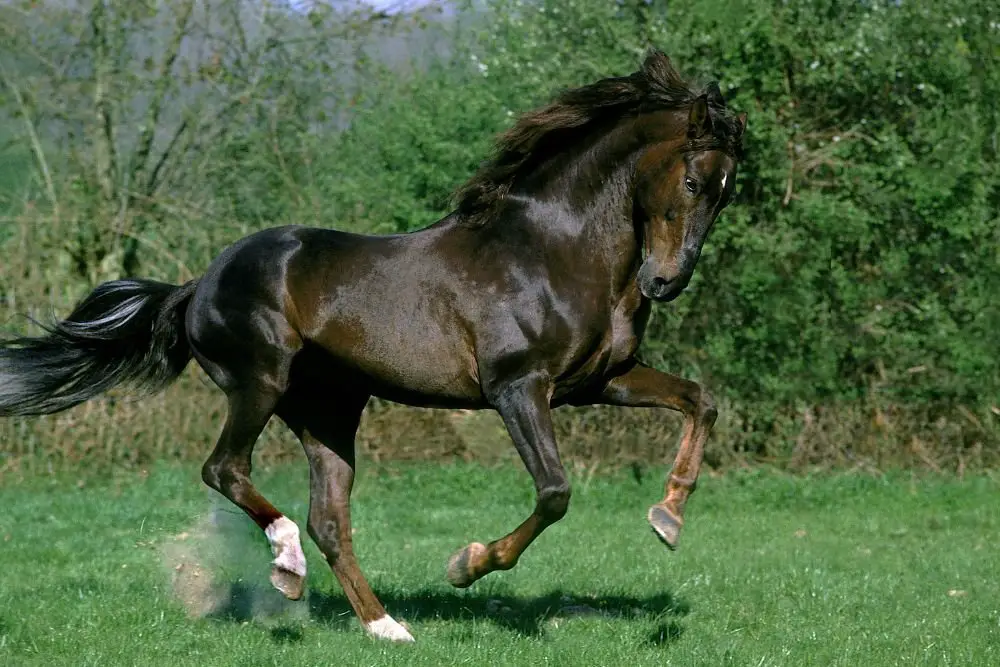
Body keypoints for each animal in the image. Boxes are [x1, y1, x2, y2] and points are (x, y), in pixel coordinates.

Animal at [0, 51, 748, 640]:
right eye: (691, 180)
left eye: (726, 192)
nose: (664, 282)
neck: (550, 250)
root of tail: (199, 283)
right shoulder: (517, 388)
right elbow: (555, 492)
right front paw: (466, 564)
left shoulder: (600, 381)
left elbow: (701, 401)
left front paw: (667, 518)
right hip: (260, 383)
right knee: (226, 471)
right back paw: (288, 564)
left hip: (328, 411)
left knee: (330, 519)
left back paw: (385, 625)